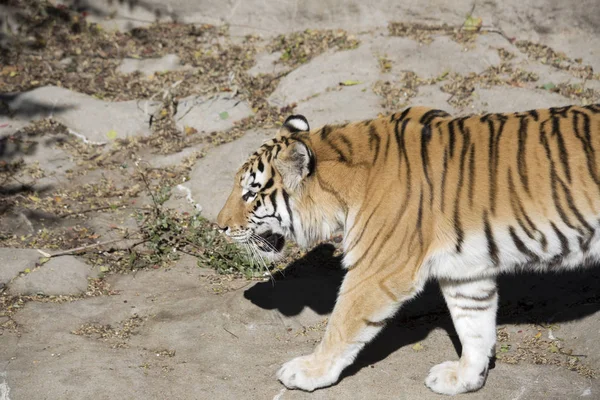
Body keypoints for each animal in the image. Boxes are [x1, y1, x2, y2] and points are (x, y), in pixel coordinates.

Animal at [216, 103, 600, 394]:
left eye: (250, 193)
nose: (219, 226)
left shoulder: (376, 270)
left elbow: (341, 325)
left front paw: (309, 371)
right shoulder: (466, 271)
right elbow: (474, 324)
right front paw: (465, 378)